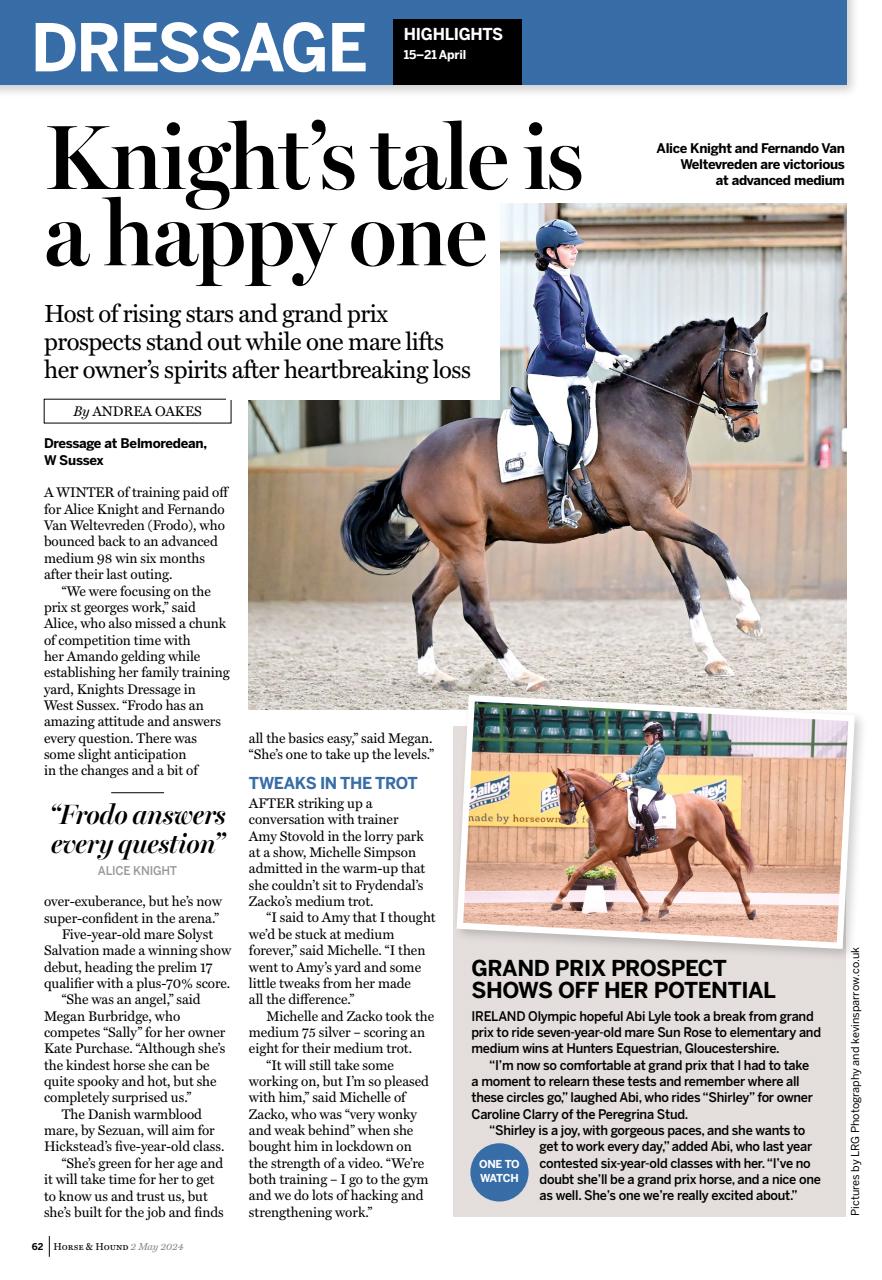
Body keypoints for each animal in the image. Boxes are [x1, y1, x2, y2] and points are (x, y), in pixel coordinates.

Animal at [341, 315, 767, 689]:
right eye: (734, 371)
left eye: (758, 370)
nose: (749, 430)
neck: (646, 413)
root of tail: (413, 459)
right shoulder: (652, 513)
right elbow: (716, 542)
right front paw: (749, 618)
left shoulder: (661, 521)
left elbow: (688, 585)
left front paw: (713, 657)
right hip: (464, 544)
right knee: (476, 611)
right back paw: (524, 676)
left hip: (465, 544)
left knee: (424, 600)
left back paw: (435, 675)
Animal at [550, 766, 756, 923]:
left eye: (564, 792)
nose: (566, 819)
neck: (608, 805)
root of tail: (713, 804)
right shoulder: (617, 855)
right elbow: (631, 882)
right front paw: (645, 910)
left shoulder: (606, 851)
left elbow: (579, 870)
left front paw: (557, 900)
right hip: (680, 846)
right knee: (685, 874)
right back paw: (664, 907)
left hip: (715, 843)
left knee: (734, 869)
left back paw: (750, 910)